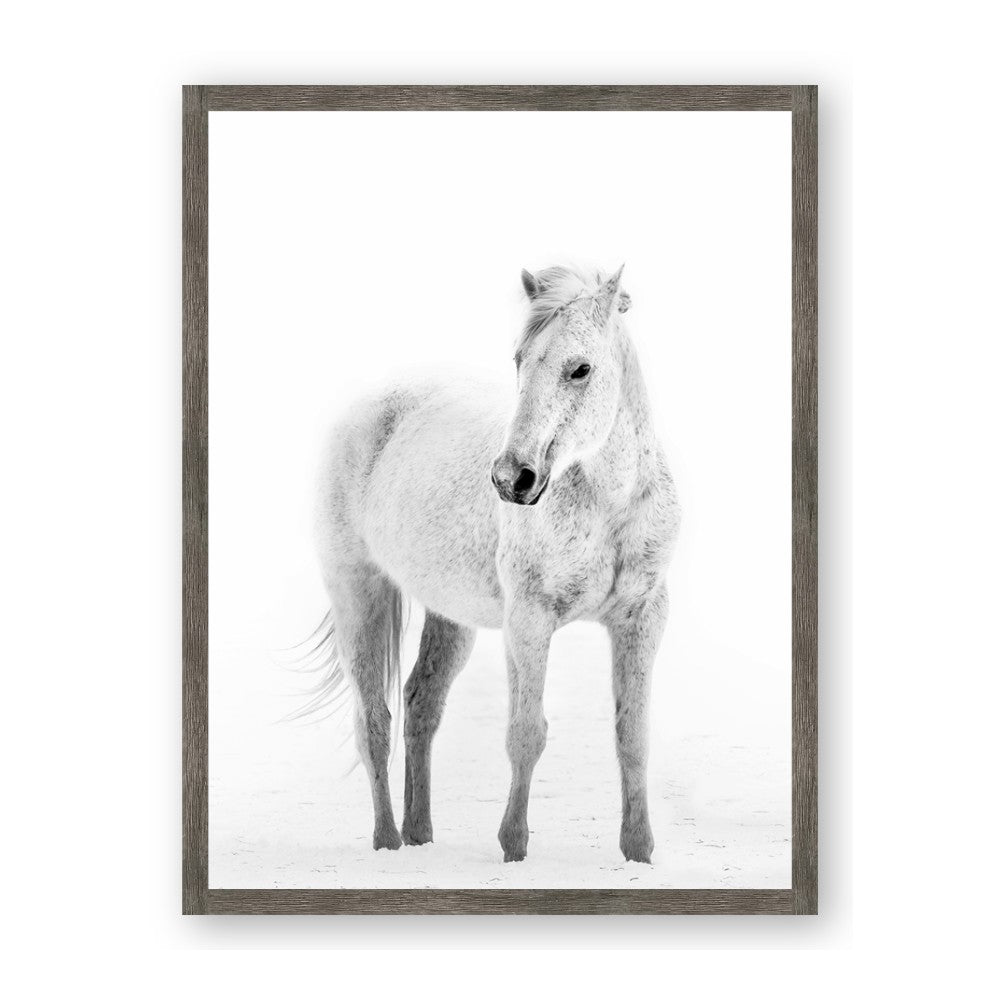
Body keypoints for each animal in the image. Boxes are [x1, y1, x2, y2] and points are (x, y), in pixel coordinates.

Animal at [311, 263, 681, 863]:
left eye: (581, 369)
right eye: (519, 360)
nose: (512, 479)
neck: (609, 504)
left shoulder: (643, 617)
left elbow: (633, 736)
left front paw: (639, 852)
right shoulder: (529, 620)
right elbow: (526, 733)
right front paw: (513, 847)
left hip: (449, 616)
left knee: (420, 705)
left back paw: (420, 834)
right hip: (357, 593)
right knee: (374, 721)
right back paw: (388, 842)